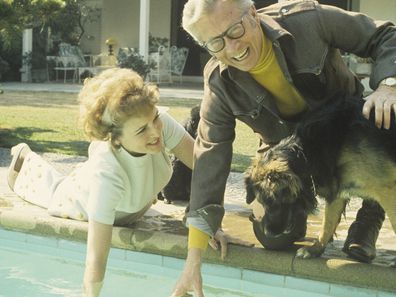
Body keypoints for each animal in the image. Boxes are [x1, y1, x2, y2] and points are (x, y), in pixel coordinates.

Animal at [244, 95, 396, 260]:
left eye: (272, 201)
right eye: (261, 201)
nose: (269, 233)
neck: (308, 152)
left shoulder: (388, 190)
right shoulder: (337, 187)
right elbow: (327, 224)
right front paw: (315, 249)